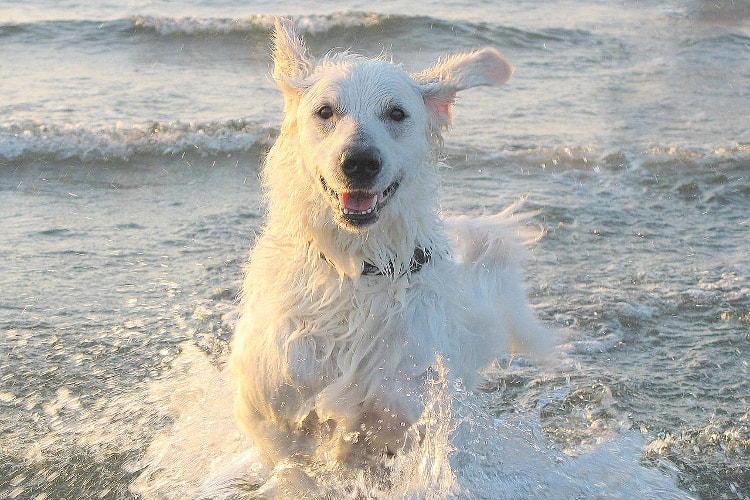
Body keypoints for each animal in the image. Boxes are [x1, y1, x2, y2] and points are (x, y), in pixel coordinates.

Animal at [229, 18, 552, 472]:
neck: (357, 267)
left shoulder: (402, 415)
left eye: (397, 113)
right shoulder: (269, 407)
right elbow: (294, 468)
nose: (359, 163)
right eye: (325, 111)